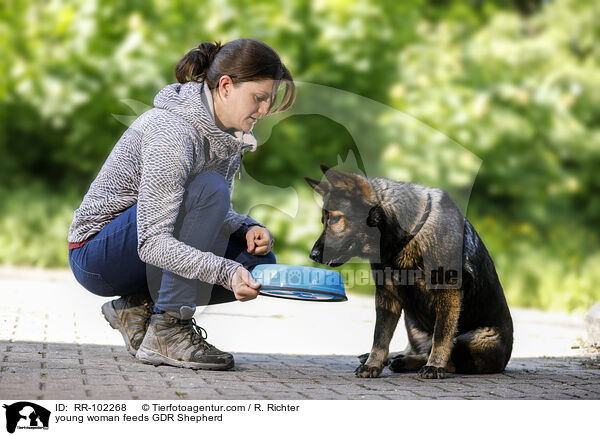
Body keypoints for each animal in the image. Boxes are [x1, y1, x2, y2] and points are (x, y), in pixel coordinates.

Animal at [308, 166, 512, 378]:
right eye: (323, 221)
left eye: (335, 219)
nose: (312, 255)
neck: (405, 237)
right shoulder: (387, 294)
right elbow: (380, 336)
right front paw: (373, 363)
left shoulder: (448, 292)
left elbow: (441, 335)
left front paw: (435, 366)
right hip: (411, 321)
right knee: (416, 349)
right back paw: (393, 359)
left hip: (476, 340)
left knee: (447, 354)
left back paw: (410, 362)